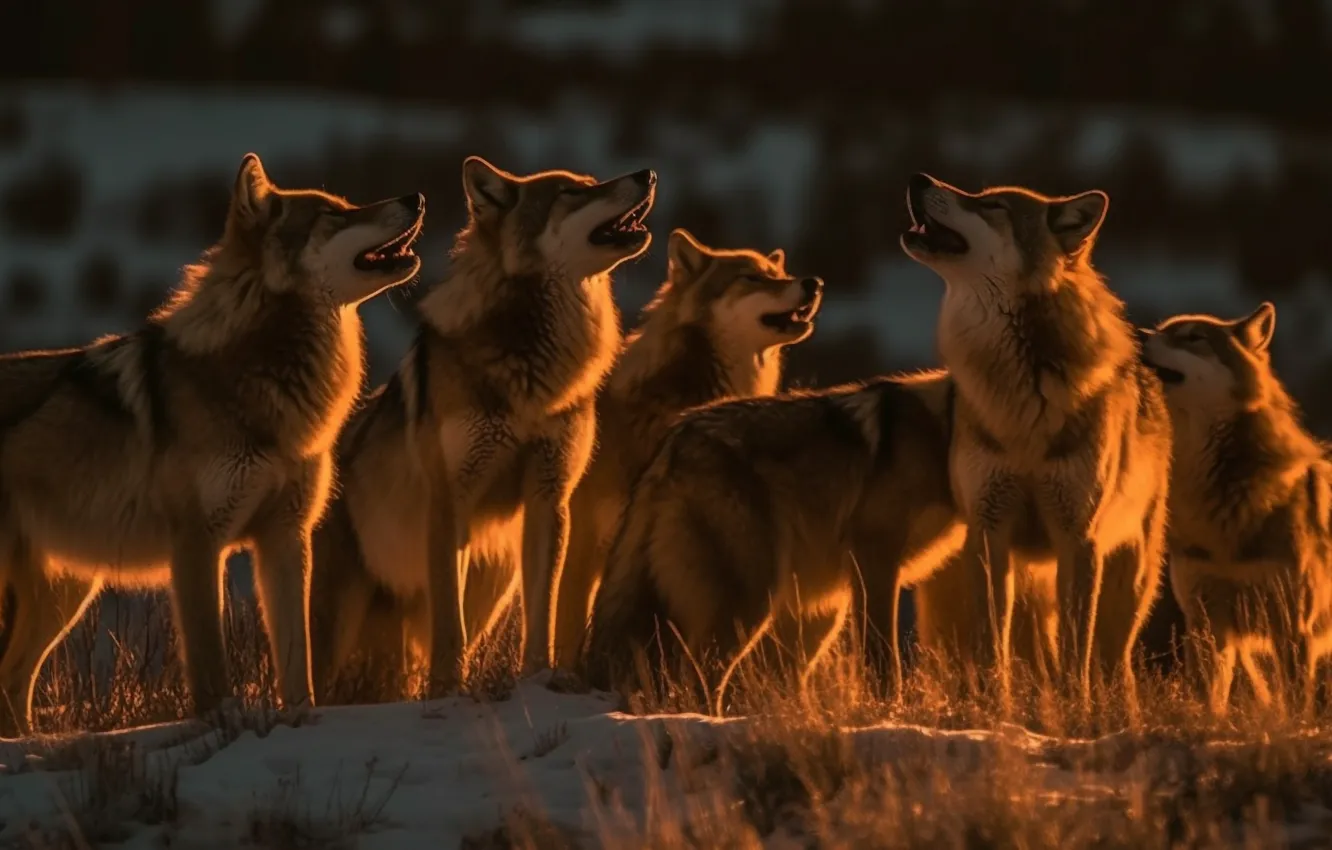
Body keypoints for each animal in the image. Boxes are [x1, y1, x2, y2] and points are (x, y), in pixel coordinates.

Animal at [0, 153, 424, 735]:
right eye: (333, 215)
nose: (416, 197)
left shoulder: (286, 538)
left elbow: (297, 663)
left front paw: (300, 723)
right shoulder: (198, 545)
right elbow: (210, 665)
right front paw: (223, 722)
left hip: (65, 592)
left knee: (11, 684)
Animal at [309, 156, 656, 698]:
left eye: (586, 185)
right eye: (571, 193)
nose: (647, 175)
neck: (533, 370)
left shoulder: (549, 499)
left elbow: (543, 613)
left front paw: (539, 677)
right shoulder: (450, 504)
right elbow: (449, 625)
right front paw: (449, 689)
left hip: (492, 583)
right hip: (338, 627)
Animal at [582, 370, 963, 712]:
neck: (943, 436)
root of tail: (674, 441)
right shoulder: (876, 558)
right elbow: (884, 657)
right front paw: (889, 711)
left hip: (805, 604)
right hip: (754, 598)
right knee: (700, 676)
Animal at [901, 173, 1172, 706]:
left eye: (993, 206)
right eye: (979, 197)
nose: (918, 179)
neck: (1021, 398)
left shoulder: (1077, 536)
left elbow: (1075, 650)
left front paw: (1076, 709)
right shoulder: (988, 532)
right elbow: (991, 644)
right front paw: (993, 708)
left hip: (1128, 580)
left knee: (1112, 662)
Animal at [1141, 303, 1332, 714]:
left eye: (1193, 337)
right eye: (1161, 329)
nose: (1137, 332)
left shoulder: (1292, 626)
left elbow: (1296, 707)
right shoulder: (1206, 623)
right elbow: (1209, 702)